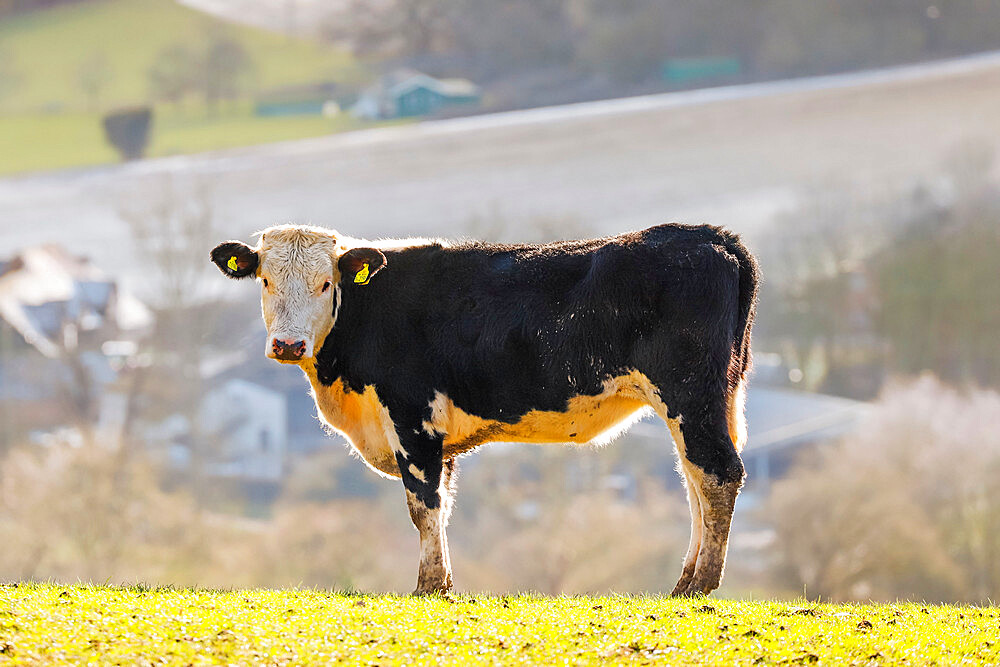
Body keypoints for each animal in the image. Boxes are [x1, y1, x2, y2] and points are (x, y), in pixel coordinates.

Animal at [211, 223, 756, 596]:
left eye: (326, 284)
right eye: (265, 280)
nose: (288, 344)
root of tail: (708, 236)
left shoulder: (412, 418)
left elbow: (423, 505)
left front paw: (429, 586)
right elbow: (443, 505)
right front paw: (444, 582)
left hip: (691, 395)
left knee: (718, 474)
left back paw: (702, 583)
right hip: (707, 401)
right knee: (695, 480)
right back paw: (684, 581)